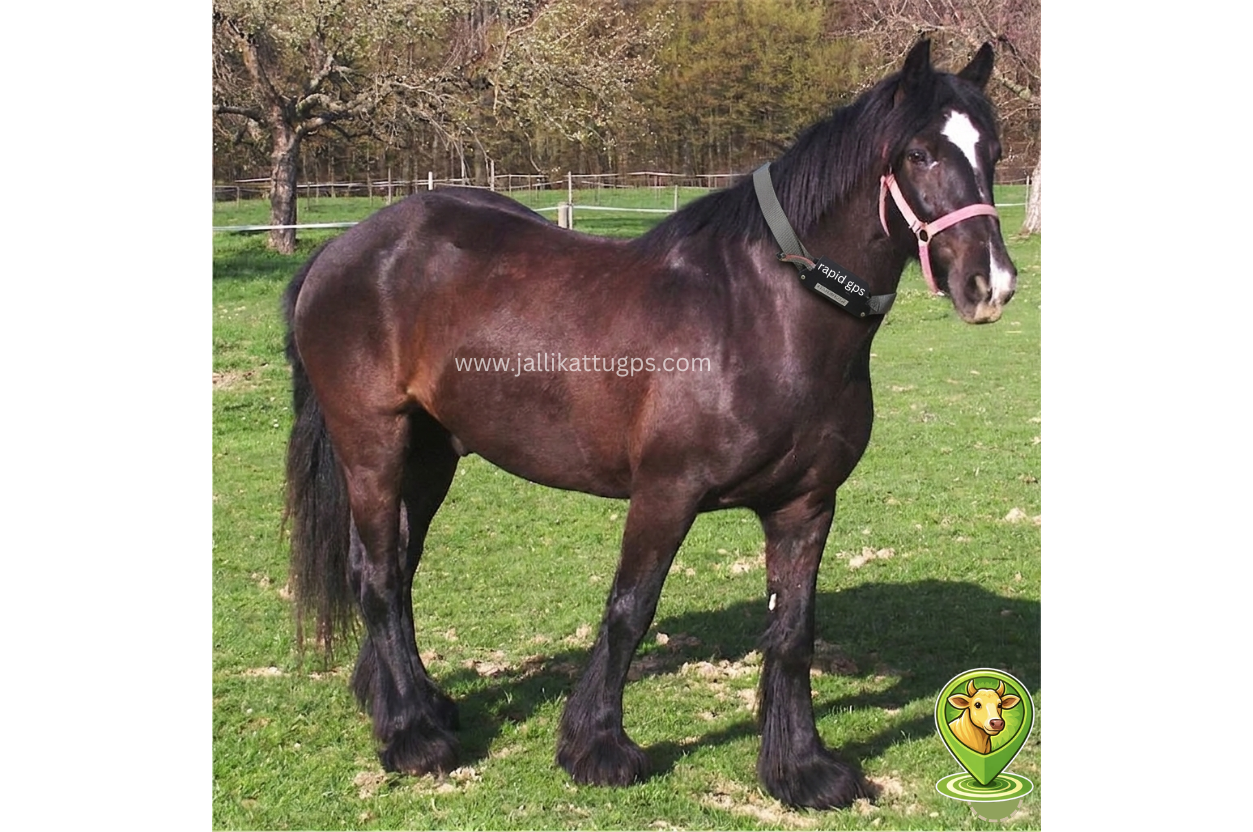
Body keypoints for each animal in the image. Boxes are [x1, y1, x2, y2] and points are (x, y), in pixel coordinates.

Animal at [283, 40, 1017, 810]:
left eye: (992, 151)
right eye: (919, 153)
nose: (989, 284)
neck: (763, 314)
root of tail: (344, 250)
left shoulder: (806, 505)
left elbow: (792, 632)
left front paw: (800, 767)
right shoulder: (667, 492)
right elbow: (630, 608)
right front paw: (598, 747)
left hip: (431, 455)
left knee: (397, 569)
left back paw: (412, 701)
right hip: (374, 445)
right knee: (376, 577)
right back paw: (412, 736)